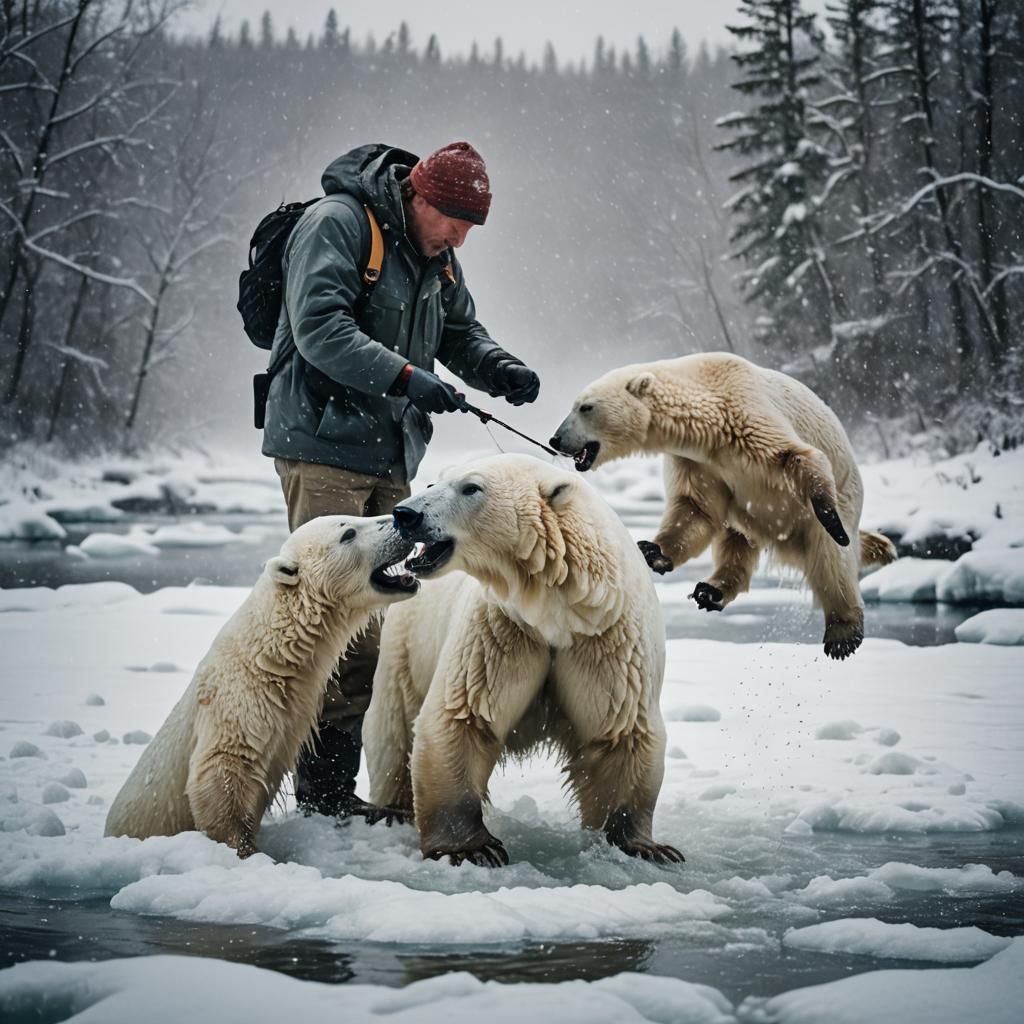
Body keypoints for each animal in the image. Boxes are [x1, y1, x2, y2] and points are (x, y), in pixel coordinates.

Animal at [104, 515, 417, 857]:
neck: (269, 655)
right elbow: (220, 772)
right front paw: (245, 851)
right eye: (348, 532)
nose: (399, 520)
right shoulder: (233, 705)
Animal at [363, 453, 683, 868]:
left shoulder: (605, 637)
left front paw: (645, 846)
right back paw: (391, 809)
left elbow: (621, 731)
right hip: (407, 644)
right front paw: (472, 848)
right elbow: (462, 717)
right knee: (393, 725)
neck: (556, 604)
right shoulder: (502, 629)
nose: (405, 514)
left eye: (471, 487)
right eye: (433, 483)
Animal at [549, 352, 897, 660]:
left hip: (845, 496)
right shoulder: (700, 462)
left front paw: (829, 514)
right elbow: (696, 508)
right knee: (736, 539)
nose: (555, 439)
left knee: (831, 558)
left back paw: (843, 634)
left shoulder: (747, 415)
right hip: (750, 518)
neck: (710, 420)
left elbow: (797, 457)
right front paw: (650, 550)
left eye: (585, 407)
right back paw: (710, 590)